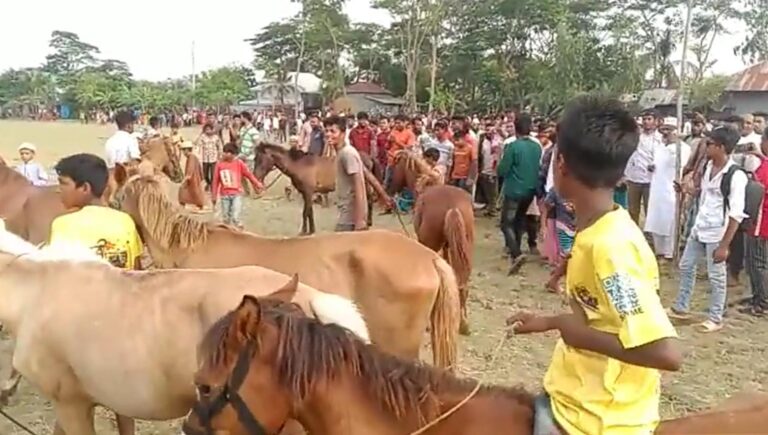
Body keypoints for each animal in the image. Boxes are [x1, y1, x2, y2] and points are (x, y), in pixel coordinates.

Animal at [254, 144, 390, 235]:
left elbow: (306, 212)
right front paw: (311, 229)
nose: (256, 177)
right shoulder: (305, 193)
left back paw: (367, 222)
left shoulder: (308, 192)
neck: (299, 165)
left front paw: (304, 231)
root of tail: (369, 157)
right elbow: (309, 212)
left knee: (368, 201)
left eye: (260, 159)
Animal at [390, 152, 474, 336]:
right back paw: (463, 323)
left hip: (432, 244)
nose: (391, 190)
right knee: (463, 281)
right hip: (466, 247)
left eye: (395, 166)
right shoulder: (447, 247)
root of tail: (453, 206)